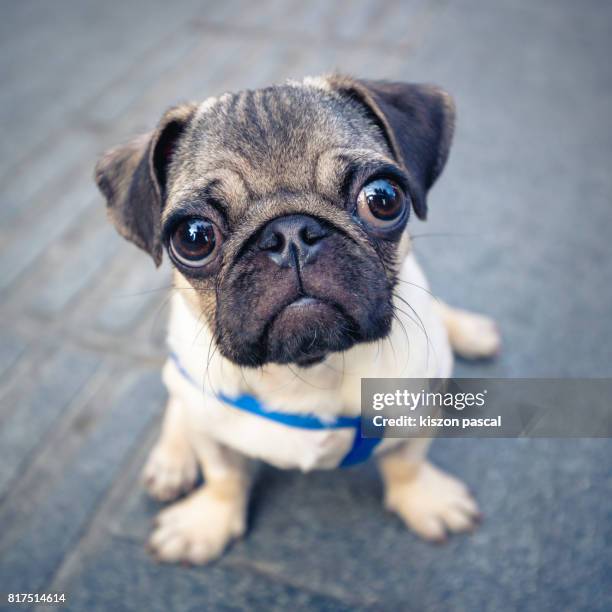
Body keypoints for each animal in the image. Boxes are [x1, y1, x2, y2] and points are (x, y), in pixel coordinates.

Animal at [95, 74, 502, 560]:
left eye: (382, 198)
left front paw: (425, 500)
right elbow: (223, 475)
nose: (289, 234)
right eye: (194, 237)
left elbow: (407, 463)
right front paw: (207, 522)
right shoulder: (212, 428)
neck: (309, 368)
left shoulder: (418, 409)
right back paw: (171, 460)